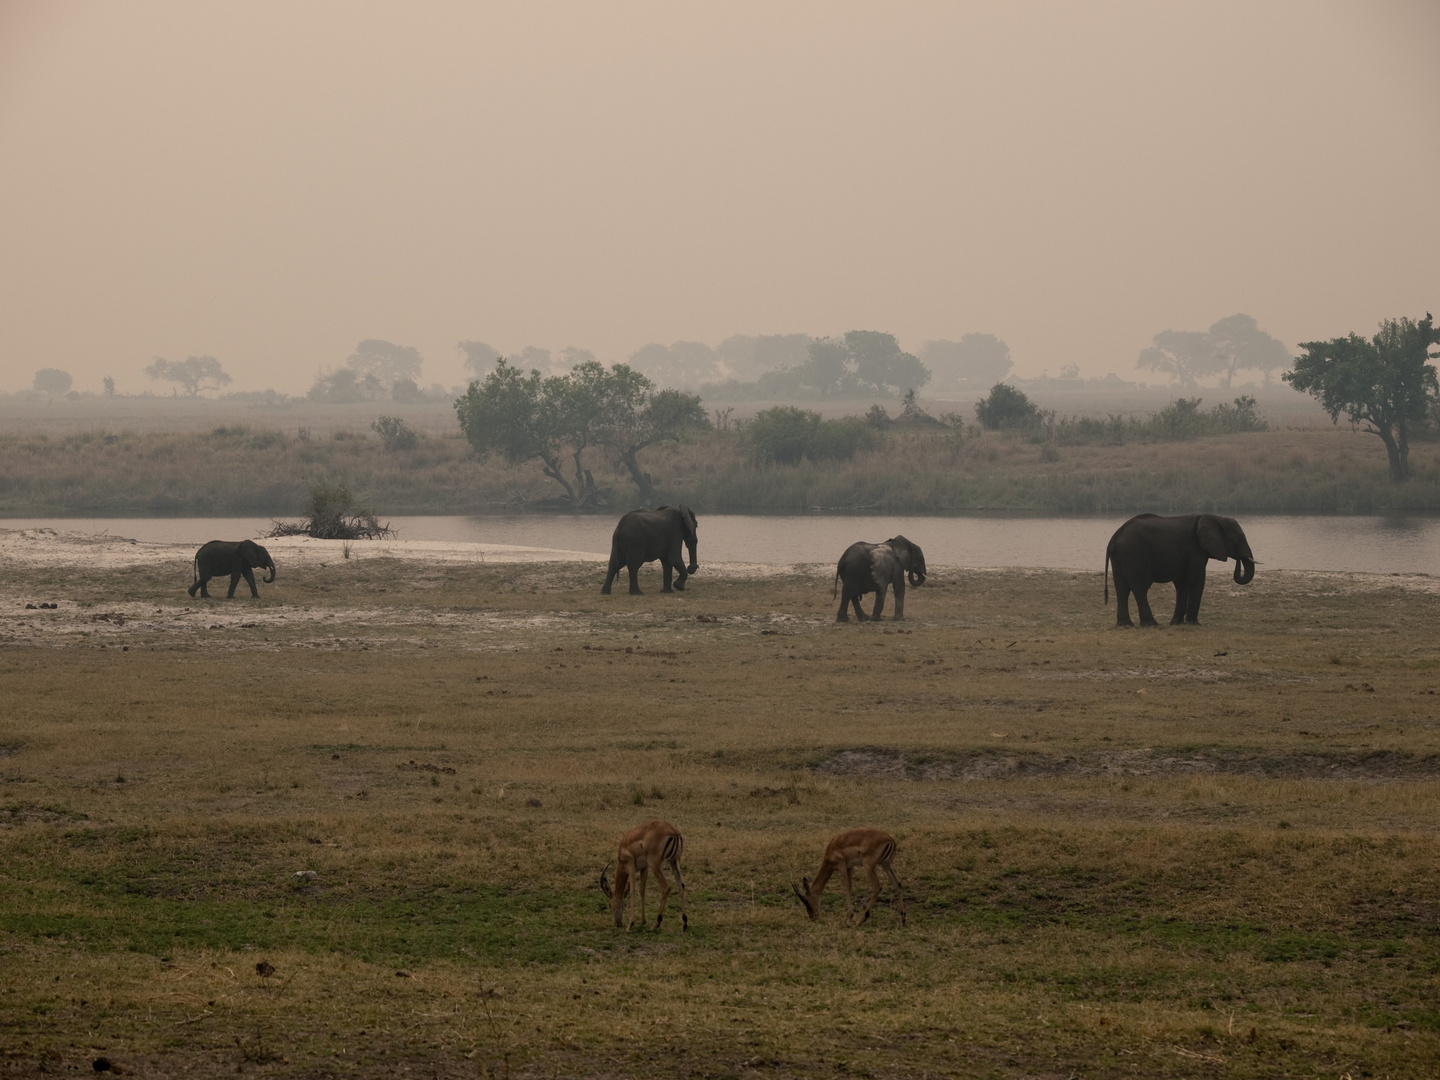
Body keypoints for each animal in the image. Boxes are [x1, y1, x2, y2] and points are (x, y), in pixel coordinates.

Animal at [1105, 512, 1255, 630]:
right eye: (1239, 539)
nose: (1239, 559)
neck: (1214, 517)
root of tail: (1113, 539)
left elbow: (1181, 584)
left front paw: (1176, 623)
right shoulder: (1194, 551)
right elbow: (1197, 580)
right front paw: (1193, 624)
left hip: (1120, 558)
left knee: (1122, 588)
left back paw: (1125, 625)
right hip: (1135, 554)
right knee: (1140, 588)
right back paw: (1152, 624)